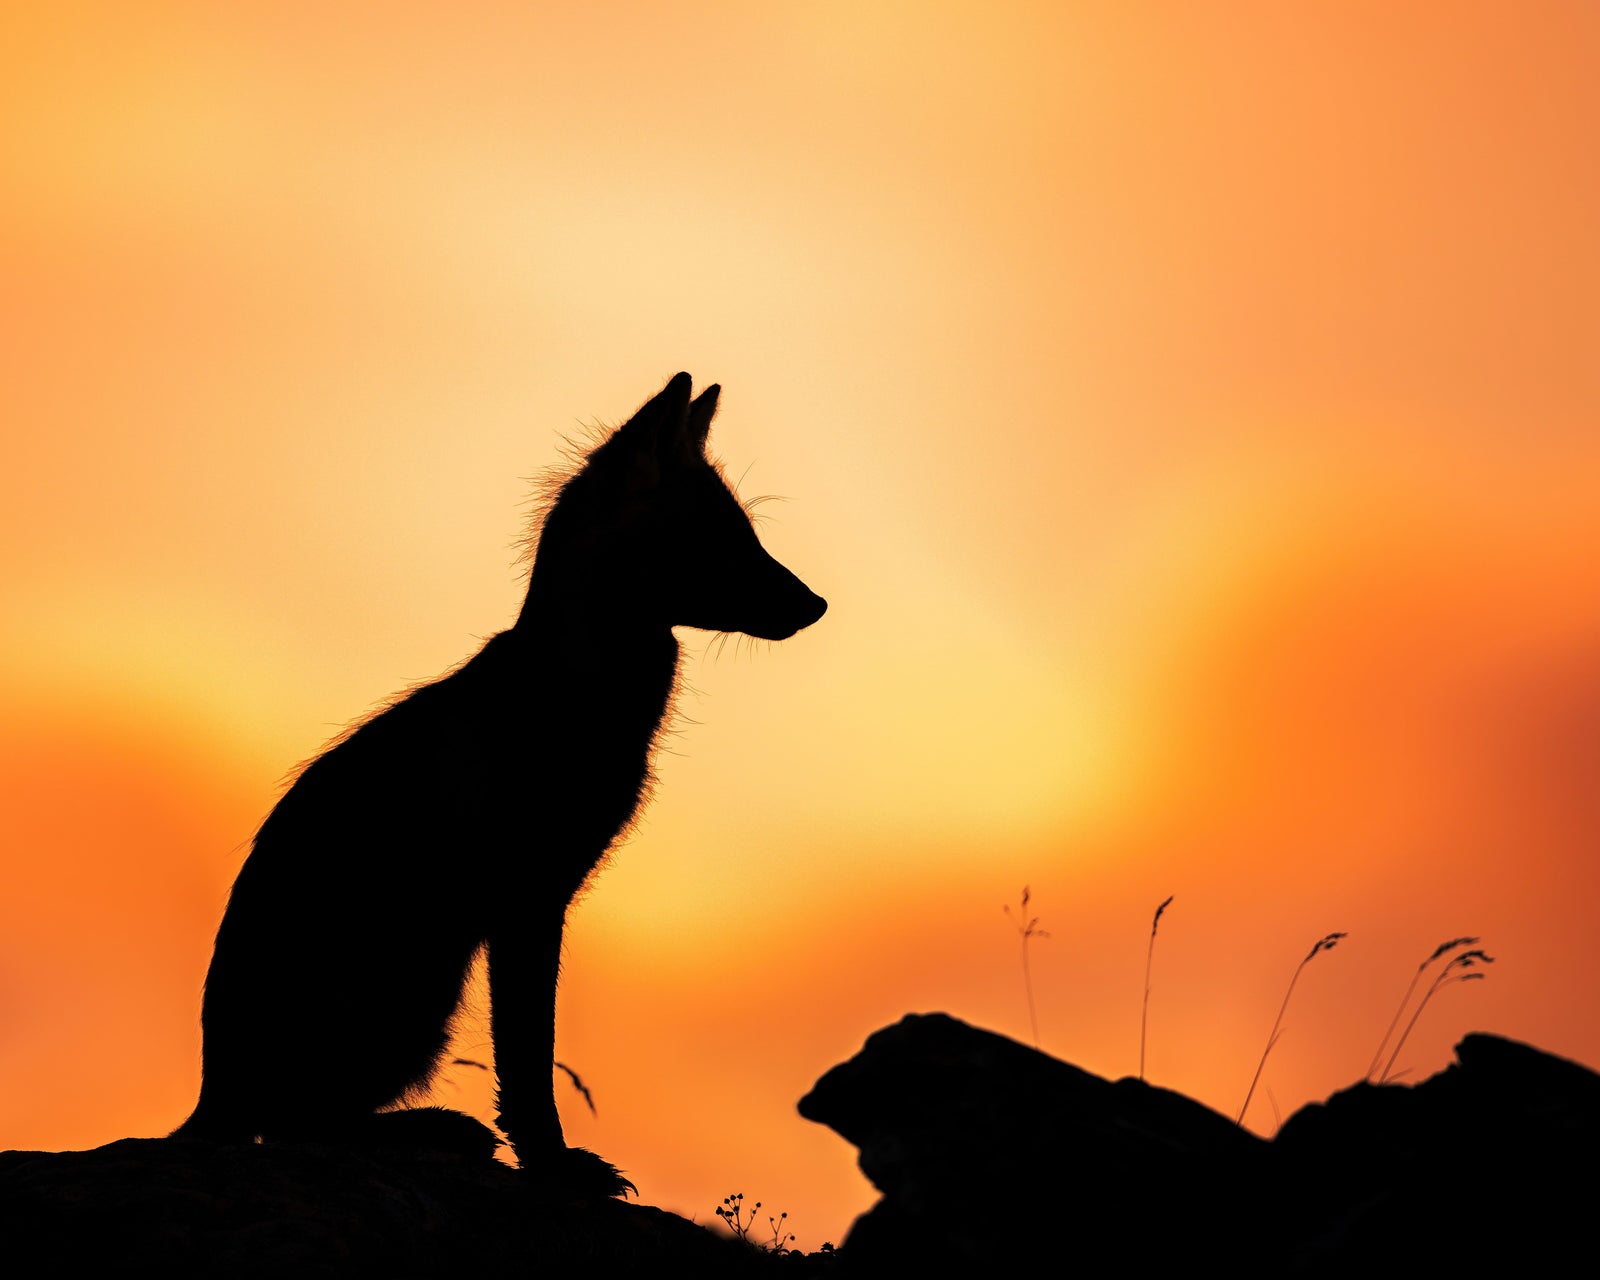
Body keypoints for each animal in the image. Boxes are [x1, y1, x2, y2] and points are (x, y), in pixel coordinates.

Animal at [171, 373, 826, 1195]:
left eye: (747, 531)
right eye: (722, 536)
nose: (817, 604)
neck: (573, 692)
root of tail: (211, 1088)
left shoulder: (545, 898)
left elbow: (528, 1059)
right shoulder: (529, 902)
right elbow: (528, 1063)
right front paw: (555, 1165)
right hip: (414, 994)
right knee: (296, 1124)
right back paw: (434, 1130)